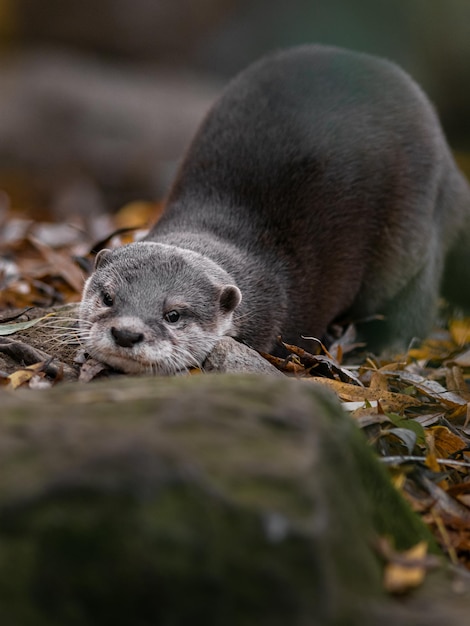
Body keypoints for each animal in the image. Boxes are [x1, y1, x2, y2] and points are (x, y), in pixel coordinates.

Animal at [81, 45, 470, 376]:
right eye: (108, 297)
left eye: (173, 314)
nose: (127, 333)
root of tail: (447, 158)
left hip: (410, 229)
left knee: (417, 298)